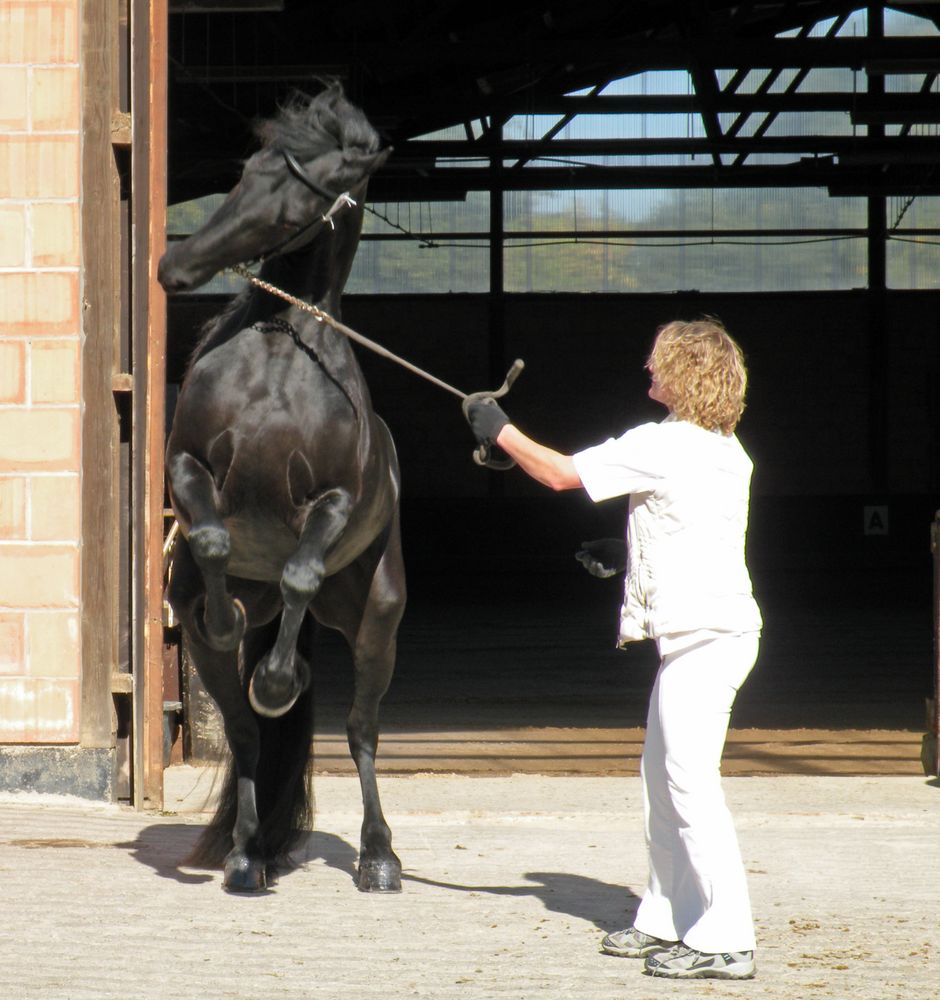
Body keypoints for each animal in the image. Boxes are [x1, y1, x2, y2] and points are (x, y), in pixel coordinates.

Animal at [155, 86, 404, 896]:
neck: (277, 361)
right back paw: (245, 854)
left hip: (376, 618)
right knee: (243, 734)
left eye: (300, 193)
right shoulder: (187, 467)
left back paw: (378, 857)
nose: (174, 265)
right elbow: (210, 536)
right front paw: (227, 621)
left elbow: (299, 568)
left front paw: (278, 679)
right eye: (245, 174)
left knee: (361, 730)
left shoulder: (332, 503)